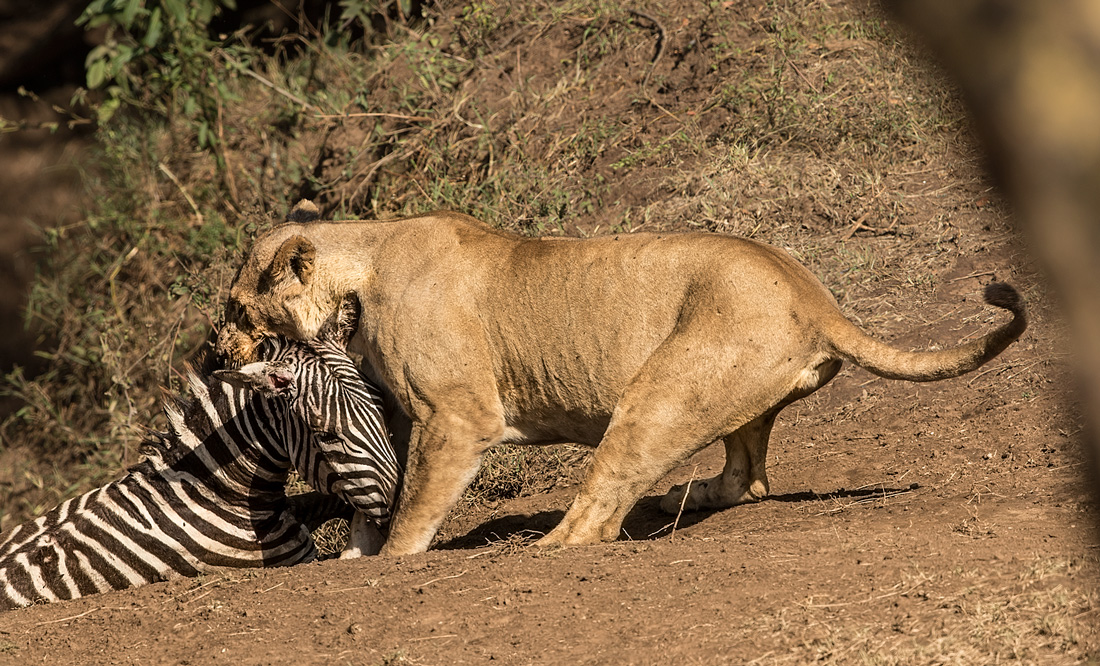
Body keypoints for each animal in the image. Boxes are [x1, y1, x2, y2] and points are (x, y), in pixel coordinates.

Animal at [0, 295, 396, 607]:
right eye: (324, 433)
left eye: (381, 407)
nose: (397, 508)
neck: (211, 490)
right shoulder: (298, 559)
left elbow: (329, 500)